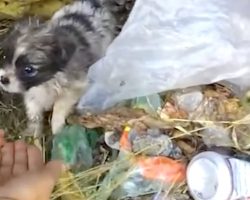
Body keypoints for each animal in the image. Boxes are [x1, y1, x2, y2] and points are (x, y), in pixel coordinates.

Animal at [0, 0, 115, 137]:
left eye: (28, 69)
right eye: (4, 57)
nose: (3, 79)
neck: (48, 81)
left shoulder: (76, 87)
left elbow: (59, 106)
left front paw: (57, 128)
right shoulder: (32, 93)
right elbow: (33, 111)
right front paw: (34, 131)